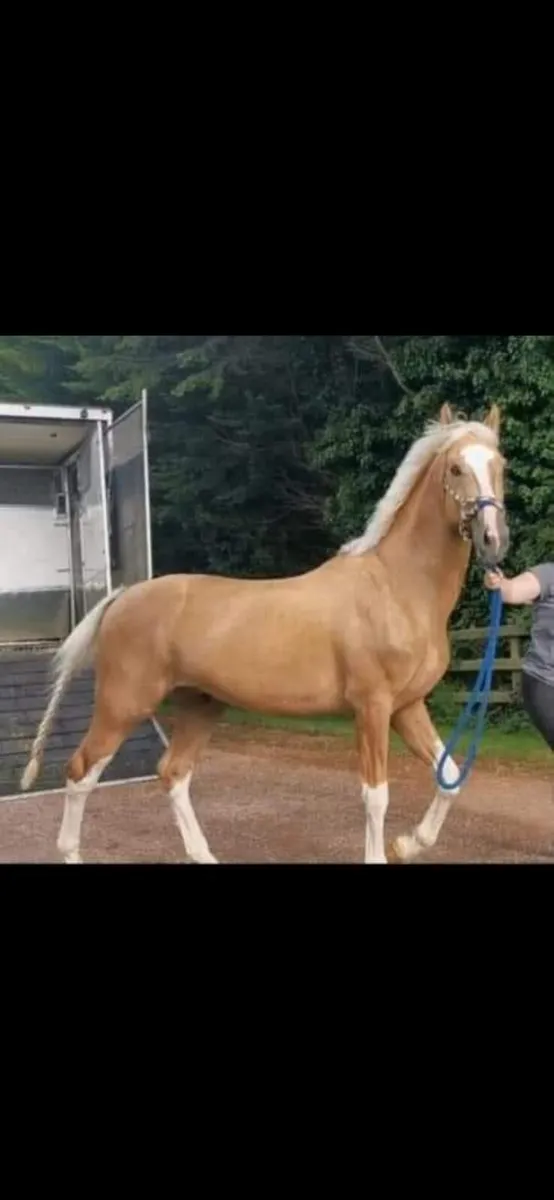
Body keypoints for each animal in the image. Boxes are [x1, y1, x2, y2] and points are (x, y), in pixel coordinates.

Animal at [20, 401, 509, 864]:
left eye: (500, 464)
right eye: (455, 468)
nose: (493, 539)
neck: (396, 586)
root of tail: (121, 597)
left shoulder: (407, 706)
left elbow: (450, 778)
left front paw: (408, 844)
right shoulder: (372, 707)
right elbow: (376, 797)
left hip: (200, 705)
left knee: (173, 773)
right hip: (123, 704)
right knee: (81, 771)